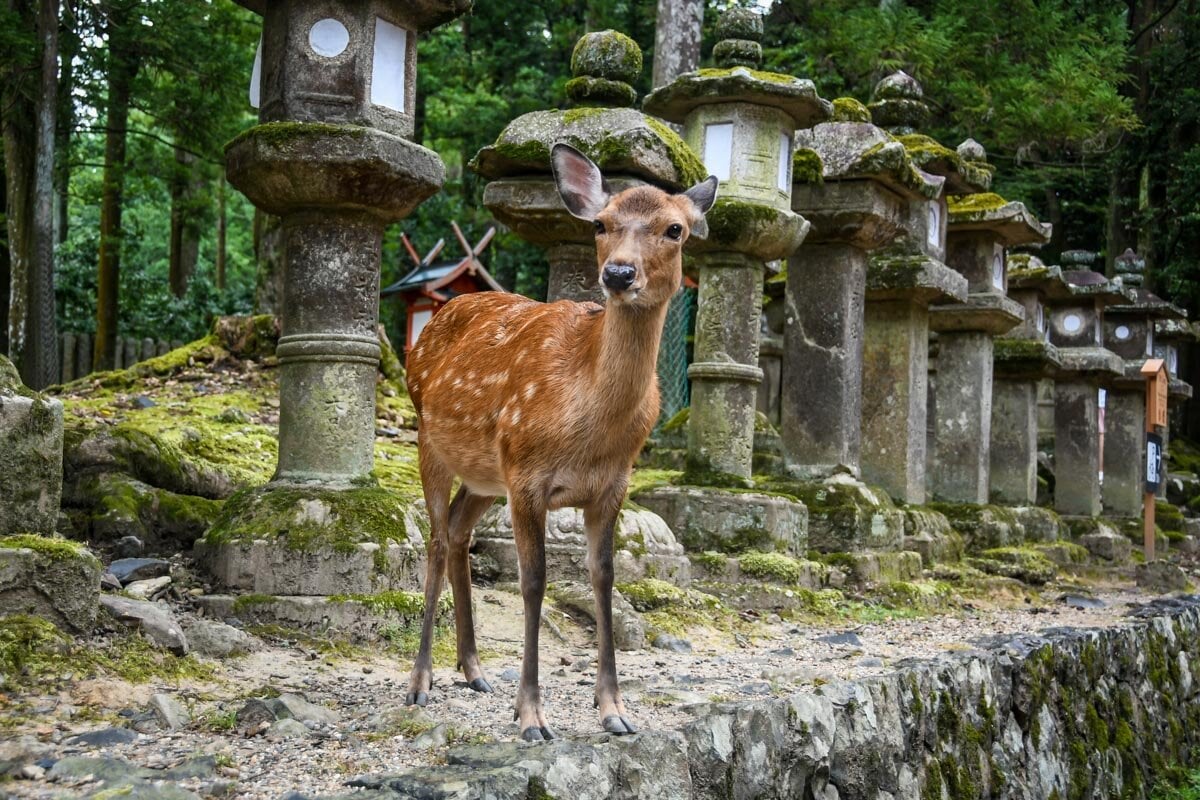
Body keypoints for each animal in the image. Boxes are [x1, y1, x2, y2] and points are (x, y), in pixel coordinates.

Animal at [403, 143, 720, 738]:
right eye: (600, 223)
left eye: (676, 229)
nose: (618, 273)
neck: (588, 427)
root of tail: (433, 321)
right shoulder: (527, 475)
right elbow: (534, 582)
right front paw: (531, 715)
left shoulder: (612, 484)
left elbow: (605, 579)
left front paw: (615, 711)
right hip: (431, 439)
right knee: (434, 539)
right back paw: (420, 682)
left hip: (487, 475)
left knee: (457, 532)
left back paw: (474, 670)